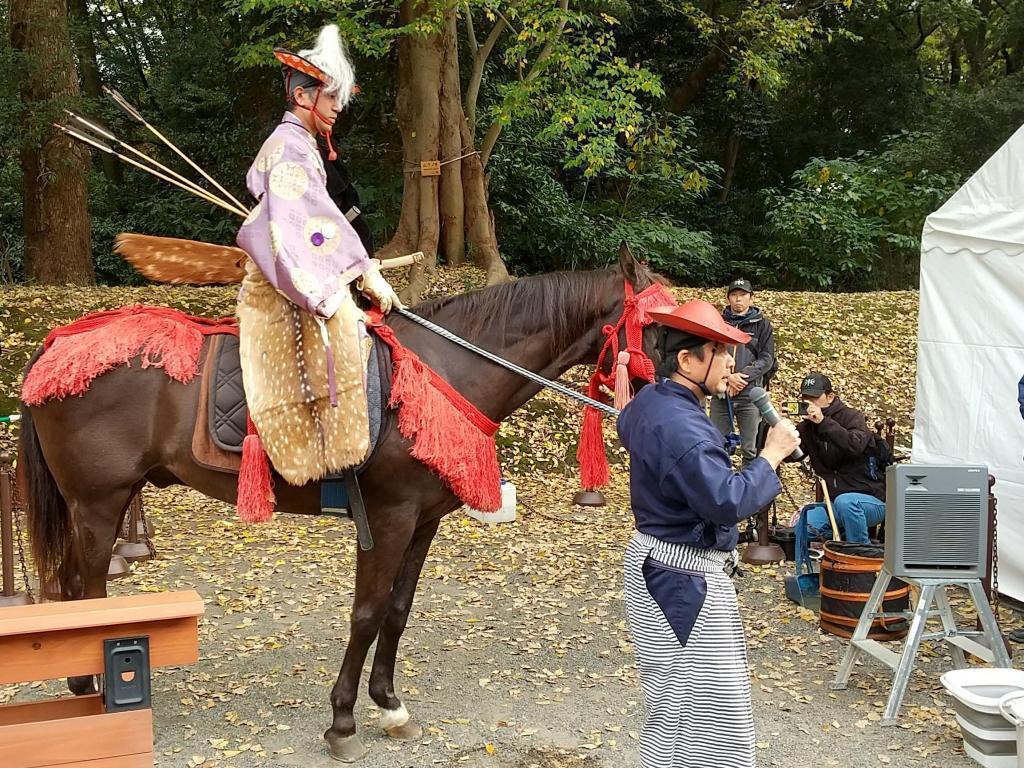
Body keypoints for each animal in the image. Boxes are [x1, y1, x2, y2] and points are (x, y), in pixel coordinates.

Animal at [17, 245, 664, 762]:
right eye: (661, 328)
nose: (679, 392)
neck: (444, 370)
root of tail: (55, 346)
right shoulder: (387, 517)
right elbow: (367, 613)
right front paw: (344, 719)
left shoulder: (422, 522)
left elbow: (398, 611)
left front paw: (389, 703)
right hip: (97, 504)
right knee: (87, 593)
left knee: (72, 587)